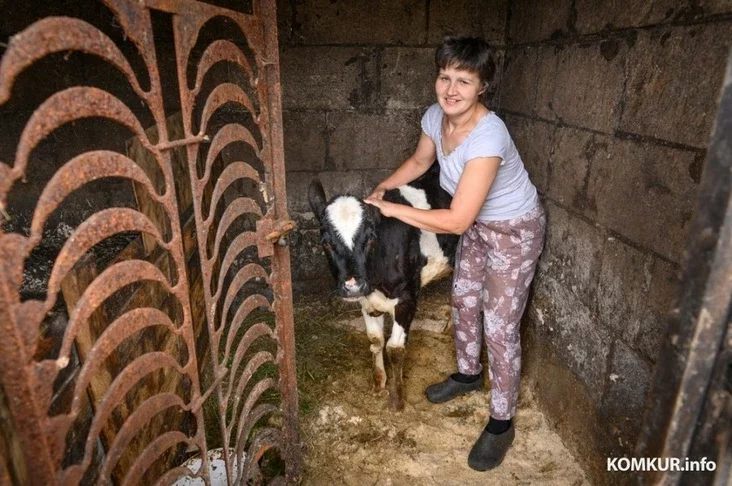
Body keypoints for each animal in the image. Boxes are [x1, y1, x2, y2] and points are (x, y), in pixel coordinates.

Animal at [308, 163, 458, 410]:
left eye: (370, 238)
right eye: (326, 243)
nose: (352, 286)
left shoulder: (407, 298)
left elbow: (395, 348)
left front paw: (397, 399)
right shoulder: (366, 300)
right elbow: (375, 340)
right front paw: (379, 384)